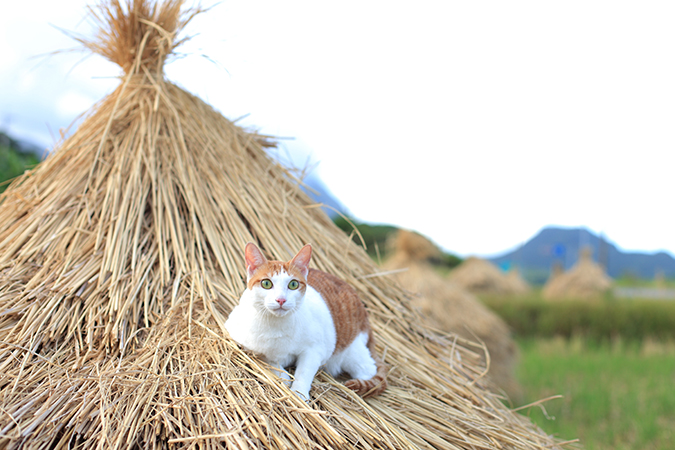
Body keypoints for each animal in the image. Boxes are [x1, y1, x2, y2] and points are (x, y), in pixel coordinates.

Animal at [226, 243, 388, 400]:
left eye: (293, 284)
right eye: (266, 283)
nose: (281, 300)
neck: (275, 326)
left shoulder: (315, 350)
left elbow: (304, 372)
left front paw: (299, 393)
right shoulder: (240, 339)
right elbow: (268, 360)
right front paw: (283, 376)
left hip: (351, 353)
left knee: (369, 369)